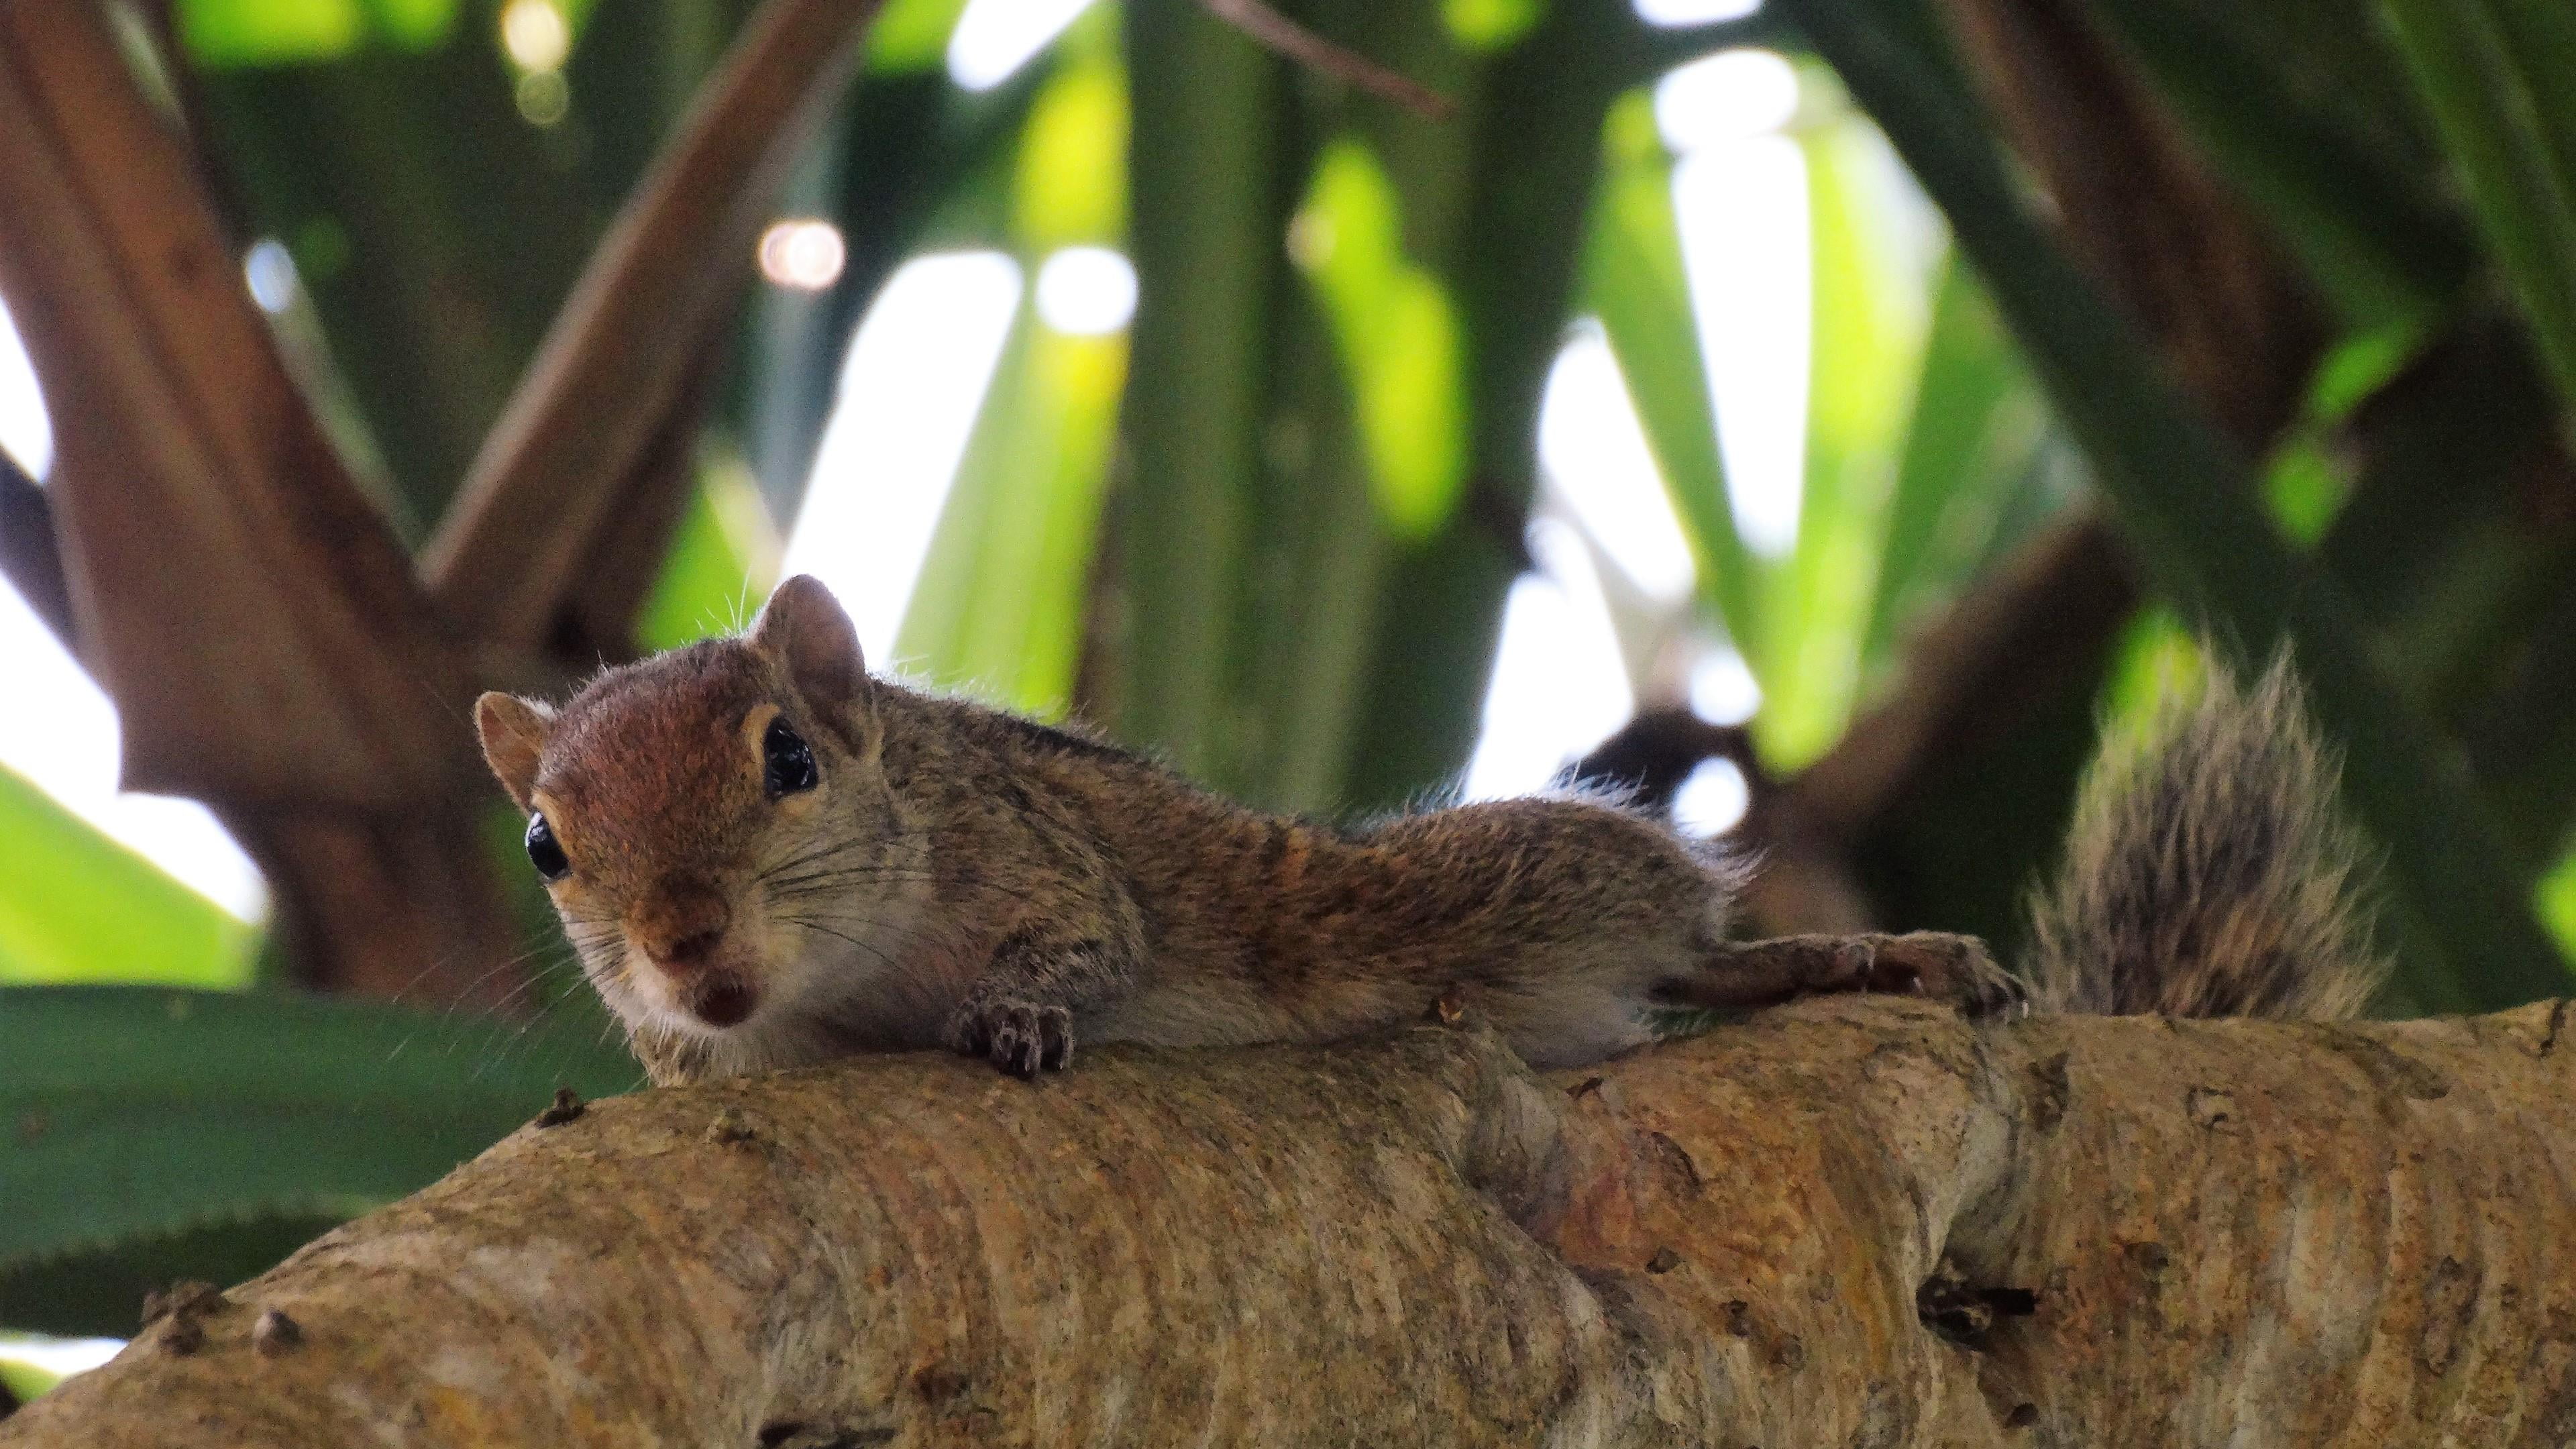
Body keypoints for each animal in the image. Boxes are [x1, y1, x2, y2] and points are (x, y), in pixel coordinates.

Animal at [475, 577, 2379, 1085]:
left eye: (788, 760)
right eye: (546, 850)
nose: (685, 948)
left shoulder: (1046, 859)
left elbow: (1091, 944)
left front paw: (1017, 1015)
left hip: (1495, 890)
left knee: (1699, 953)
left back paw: (1869, 954)